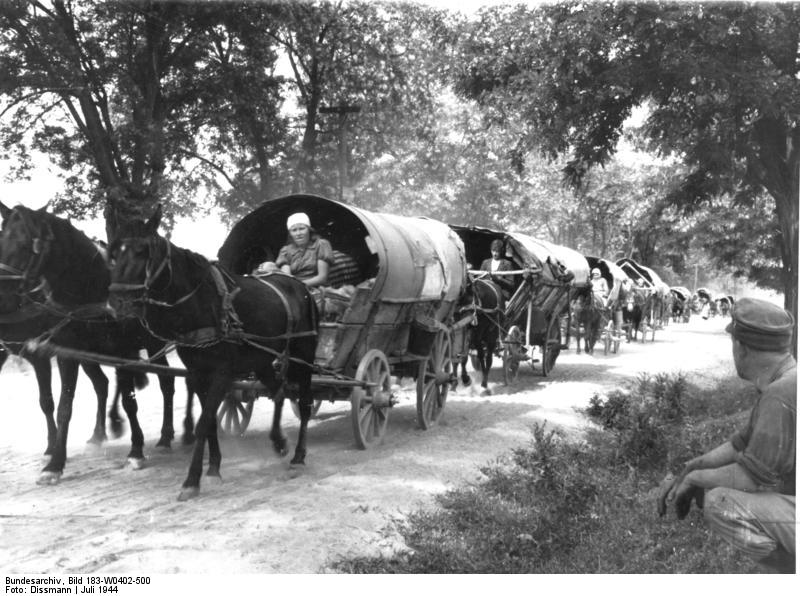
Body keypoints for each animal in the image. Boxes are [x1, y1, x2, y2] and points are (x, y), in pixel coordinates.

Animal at [0, 204, 177, 484]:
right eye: (0, 240)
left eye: (27, 245)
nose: (2, 296)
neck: (92, 289)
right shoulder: (67, 354)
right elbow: (63, 407)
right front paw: (55, 463)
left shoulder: (122, 351)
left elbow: (130, 402)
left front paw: (136, 451)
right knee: (104, 384)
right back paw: (101, 432)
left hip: (151, 343)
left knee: (167, 382)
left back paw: (166, 434)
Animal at [109, 207, 316, 500]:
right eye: (114, 252)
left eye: (143, 251)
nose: (117, 301)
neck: (201, 304)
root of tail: (301, 287)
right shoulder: (198, 374)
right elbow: (209, 424)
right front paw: (214, 467)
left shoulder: (222, 373)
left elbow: (204, 421)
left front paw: (191, 480)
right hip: (263, 361)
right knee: (279, 391)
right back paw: (278, 440)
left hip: (305, 358)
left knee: (305, 402)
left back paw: (299, 455)